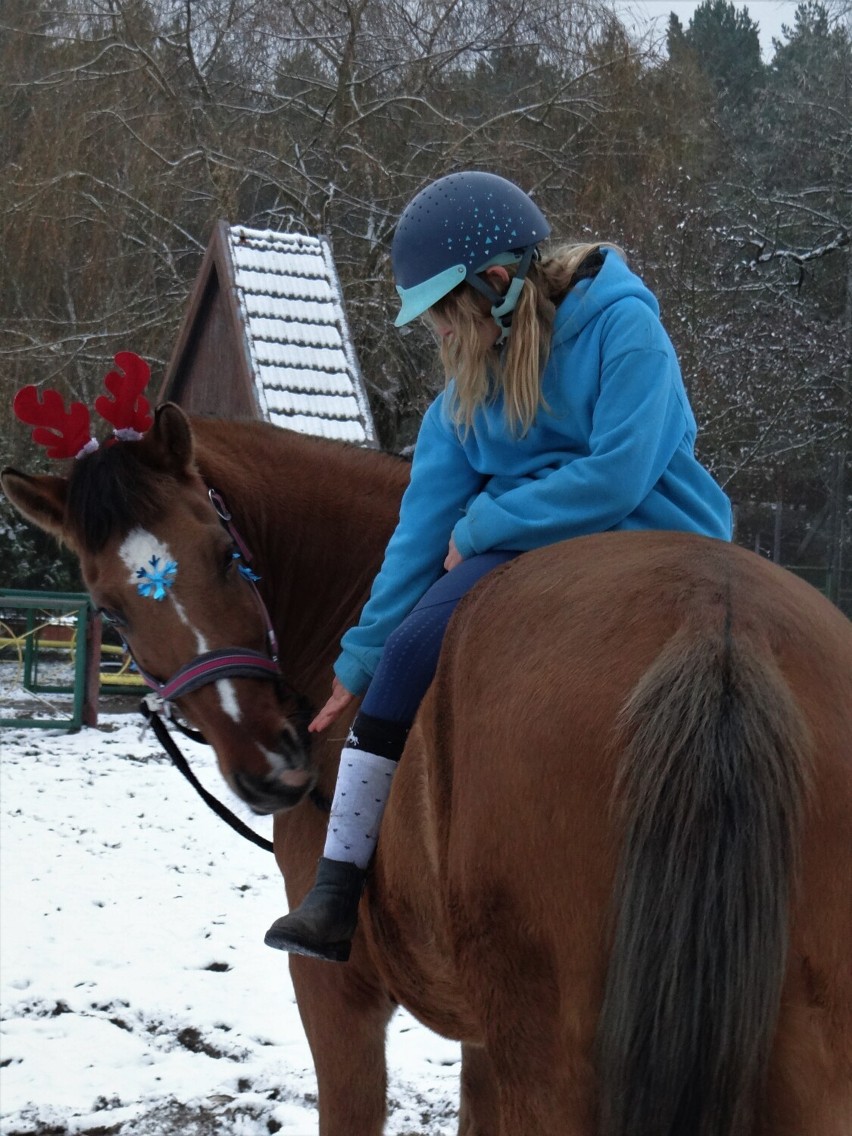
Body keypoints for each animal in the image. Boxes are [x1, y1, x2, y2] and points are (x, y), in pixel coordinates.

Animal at [1, 404, 852, 1131]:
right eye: (110, 607)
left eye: (225, 555)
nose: (271, 764)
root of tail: (716, 622)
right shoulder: (480, 1043)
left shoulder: (338, 997)